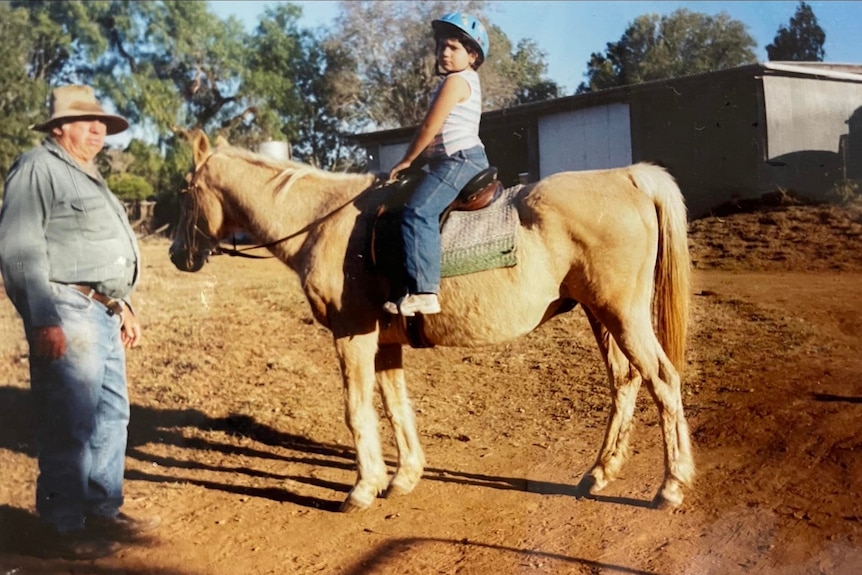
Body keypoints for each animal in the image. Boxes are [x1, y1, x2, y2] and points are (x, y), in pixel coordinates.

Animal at [169, 132, 696, 512]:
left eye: (186, 191)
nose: (178, 256)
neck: (325, 223)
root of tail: (627, 176)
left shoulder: (351, 336)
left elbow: (357, 410)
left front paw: (362, 488)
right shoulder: (383, 342)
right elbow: (395, 405)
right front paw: (403, 476)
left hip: (622, 315)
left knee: (663, 381)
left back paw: (671, 485)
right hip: (601, 316)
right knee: (626, 382)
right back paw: (600, 472)